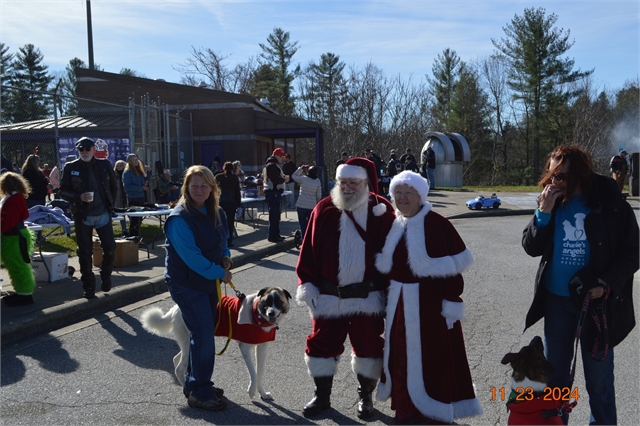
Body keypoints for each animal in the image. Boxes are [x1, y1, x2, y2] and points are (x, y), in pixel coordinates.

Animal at [142, 286, 292, 400]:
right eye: (267, 302)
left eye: (279, 302)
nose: (271, 313)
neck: (258, 316)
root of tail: (175, 308)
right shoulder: (244, 347)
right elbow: (254, 373)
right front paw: (251, 391)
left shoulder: (262, 347)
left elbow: (260, 372)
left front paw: (263, 393)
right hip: (192, 341)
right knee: (179, 367)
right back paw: (187, 388)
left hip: (187, 343)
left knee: (176, 359)